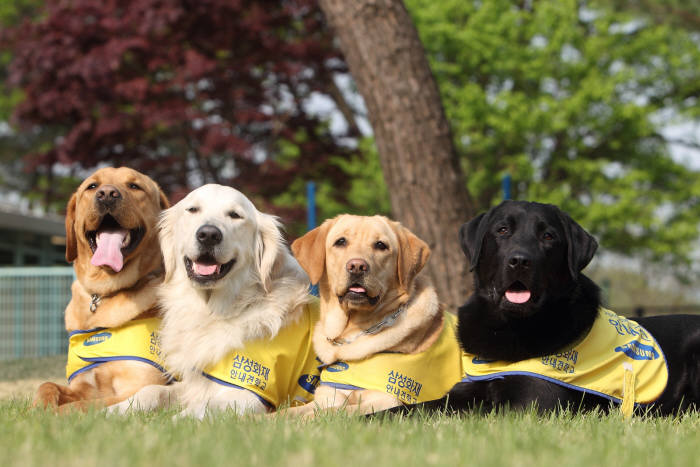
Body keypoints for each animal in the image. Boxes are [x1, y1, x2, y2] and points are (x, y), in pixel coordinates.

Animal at [107, 185, 318, 418]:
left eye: (235, 215)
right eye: (193, 209)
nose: (208, 235)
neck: (213, 312)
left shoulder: (247, 392)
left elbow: (202, 408)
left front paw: (178, 419)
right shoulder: (195, 381)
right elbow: (152, 390)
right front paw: (114, 409)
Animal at [392, 201, 696, 416]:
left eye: (548, 236)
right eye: (502, 230)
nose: (519, 260)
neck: (510, 326)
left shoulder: (531, 404)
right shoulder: (461, 392)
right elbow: (413, 409)